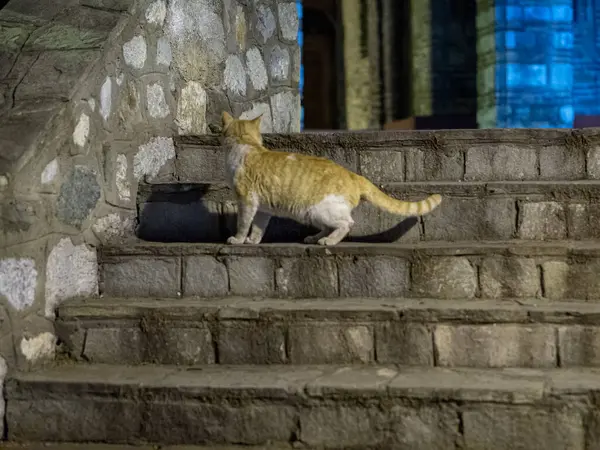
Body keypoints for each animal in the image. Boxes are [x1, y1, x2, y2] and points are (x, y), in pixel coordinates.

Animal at [220, 112, 440, 246]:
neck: (245, 144)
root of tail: (355, 175)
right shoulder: (263, 207)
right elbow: (258, 226)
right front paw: (253, 241)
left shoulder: (246, 199)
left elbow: (243, 223)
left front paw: (238, 240)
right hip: (313, 214)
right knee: (329, 227)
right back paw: (314, 237)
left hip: (318, 209)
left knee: (347, 223)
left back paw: (329, 241)